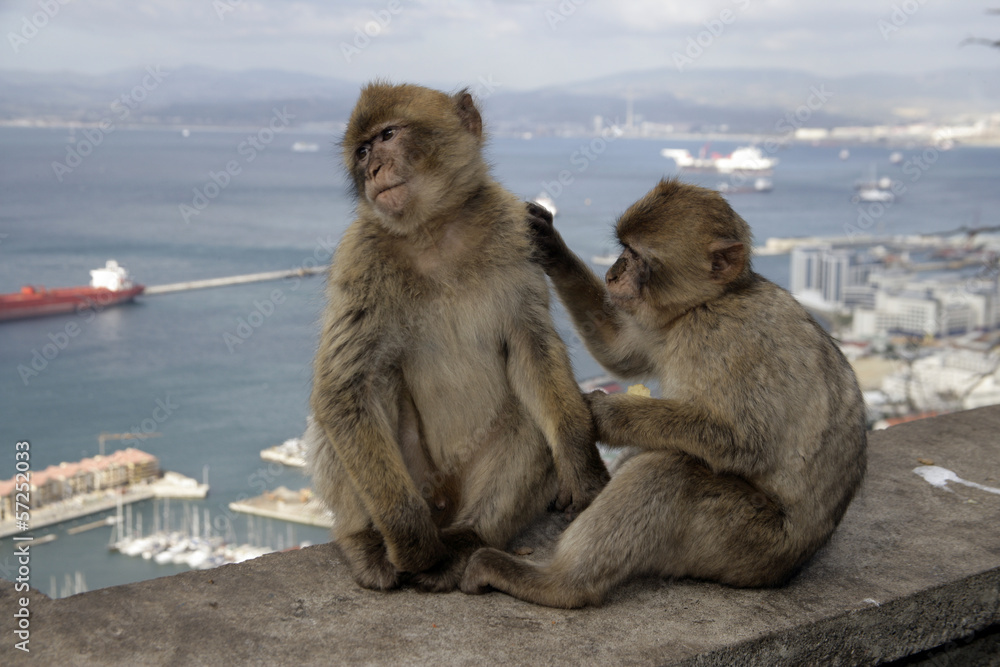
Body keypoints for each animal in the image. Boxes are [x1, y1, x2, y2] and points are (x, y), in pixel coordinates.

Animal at [306, 82, 609, 593]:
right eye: (362, 151)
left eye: (388, 135)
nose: (372, 170)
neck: (435, 230)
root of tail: (445, 505)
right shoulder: (359, 257)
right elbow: (344, 388)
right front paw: (411, 545)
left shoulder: (515, 231)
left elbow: (531, 350)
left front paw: (581, 467)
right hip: (418, 480)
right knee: (368, 386)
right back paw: (369, 540)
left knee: (526, 411)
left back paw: (470, 537)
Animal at [461, 178, 868, 608]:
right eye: (623, 247)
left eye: (637, 255)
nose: (613, 272)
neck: (707, 303)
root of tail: (790, 567)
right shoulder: (665, 324)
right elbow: (619, 351)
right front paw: (550, 244)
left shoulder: (727, 339)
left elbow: (744, 440)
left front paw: (604, 413)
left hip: (746, 542)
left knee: (669, 470)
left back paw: (556, 583)